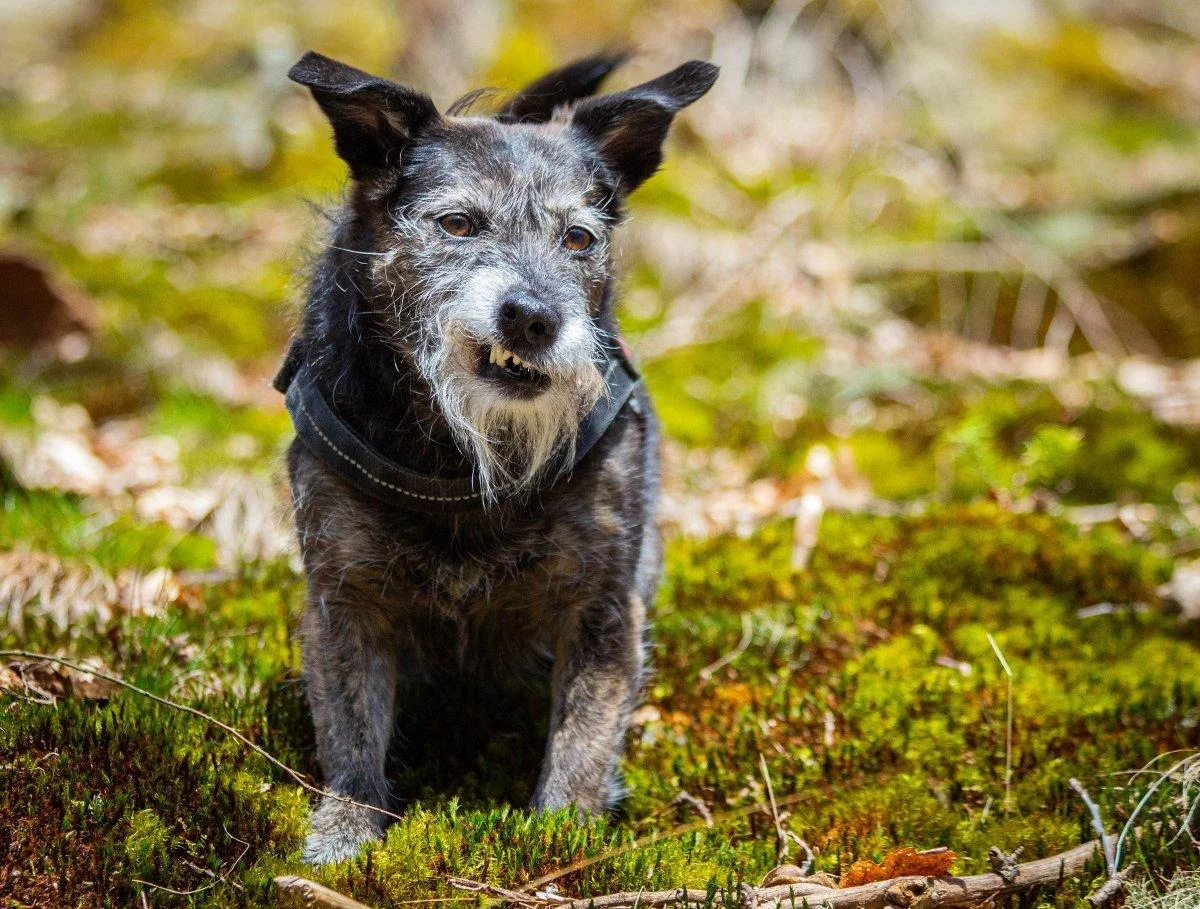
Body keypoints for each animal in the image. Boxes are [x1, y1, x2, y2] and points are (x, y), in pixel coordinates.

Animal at [276, 51, 715, 868]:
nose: (534, 317)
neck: (465, 454)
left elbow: (583, 734)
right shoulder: (345, 600)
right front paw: (344, 834)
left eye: (578, 238)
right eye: (457, 223)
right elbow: (350, 732)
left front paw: (561, 838)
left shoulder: (603, 605)